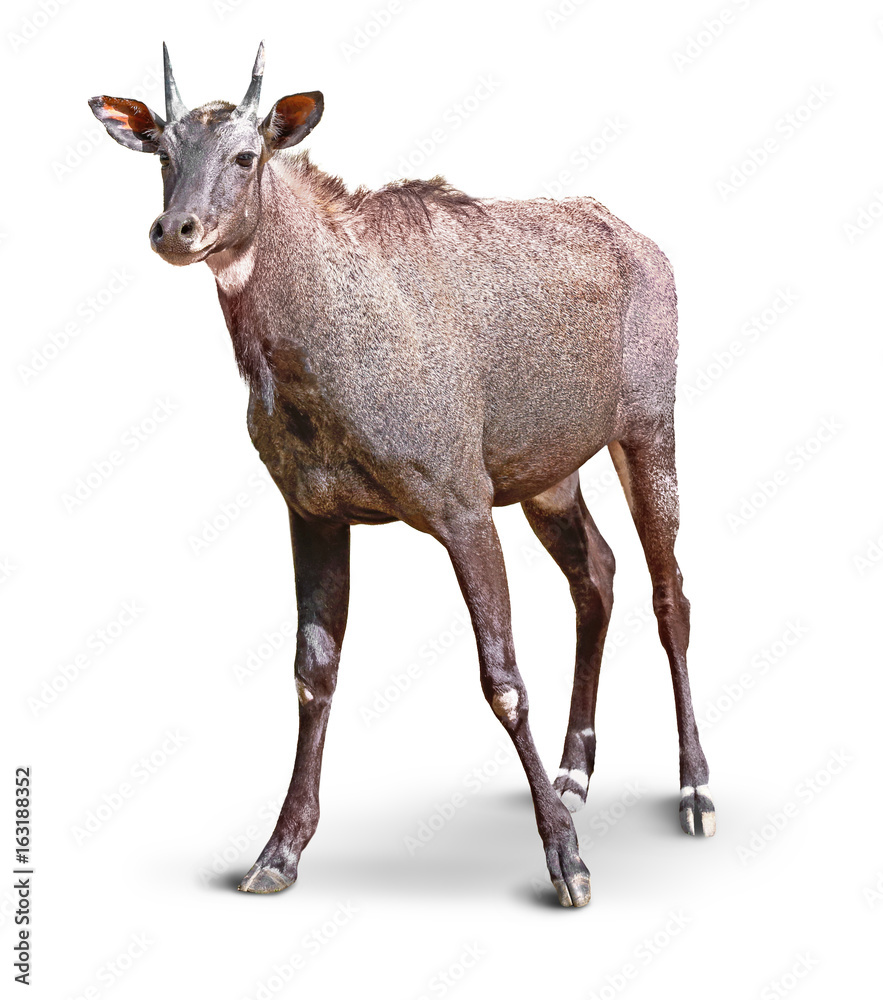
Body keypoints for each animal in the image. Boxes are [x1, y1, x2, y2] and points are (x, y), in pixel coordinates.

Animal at [89, 42, 715, 908]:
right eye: (162, 155)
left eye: (247, 155)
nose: (175, 229)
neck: (317, 356)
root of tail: (645, 242)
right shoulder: (313, 512)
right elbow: (311, 673)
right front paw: (278, 851)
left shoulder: (461, 504)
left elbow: (502, 679)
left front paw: (568, 863)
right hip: (547, 475)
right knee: (595, 574)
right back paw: (574, 771)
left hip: (647, 428)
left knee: (669, 592)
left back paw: (694, 790)